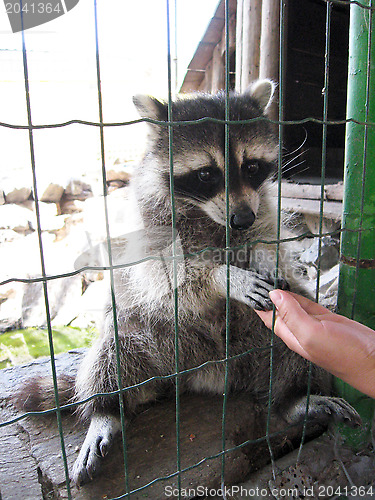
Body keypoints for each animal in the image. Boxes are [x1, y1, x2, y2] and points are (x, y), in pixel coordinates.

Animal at [16, 80, 362, 486]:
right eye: (206, 174)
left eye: (252, 166)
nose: (242, 218)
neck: (206, 215)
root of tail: (208, 375)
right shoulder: (150, 226)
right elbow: (168, 277)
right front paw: (223, 277)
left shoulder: (262, 205)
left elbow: (267, 237)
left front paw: (259, 255)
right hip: (151, 335)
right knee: (115, 344)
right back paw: (106, 410)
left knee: (292, 350)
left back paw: (296, 398)